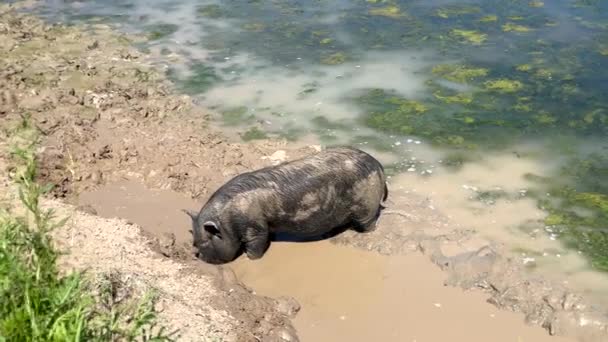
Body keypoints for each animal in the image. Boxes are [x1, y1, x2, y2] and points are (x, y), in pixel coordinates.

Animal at [183, 145, 388, 264]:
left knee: (369, 221)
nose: (199, 258)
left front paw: (250, 260)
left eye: (204, 242)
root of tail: (377, 164)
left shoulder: (255, 227)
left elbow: (256, 244)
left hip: (366, 204)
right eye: (194, 241)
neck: (227, 221)